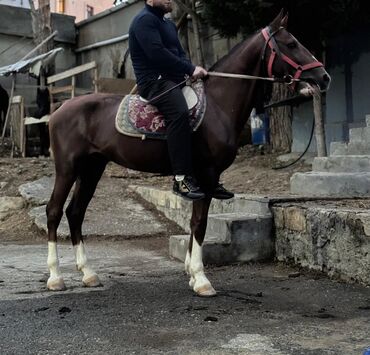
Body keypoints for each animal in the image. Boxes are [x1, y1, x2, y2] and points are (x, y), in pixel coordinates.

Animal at [45, 12, 330, 298]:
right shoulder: (206, 174)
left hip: (91, 169)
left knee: (75, 212)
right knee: (54, 211)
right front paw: (201, 279)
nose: (324, 77)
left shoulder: (203, 181)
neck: (217, 104)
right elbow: (199, 224)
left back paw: (88, 273)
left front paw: (192, 275)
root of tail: (61, 107)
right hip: (67, 169)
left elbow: (194, 224)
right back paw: (56, 277)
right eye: (291, 43)